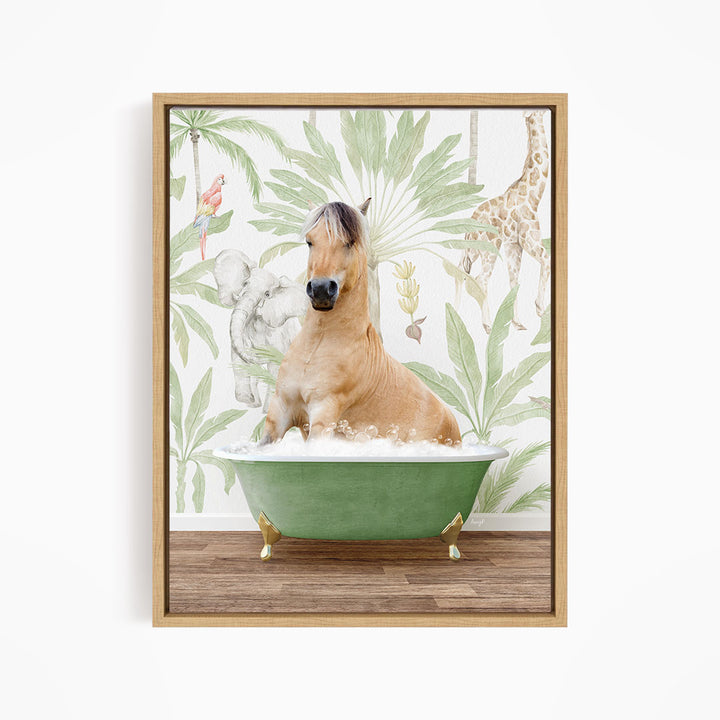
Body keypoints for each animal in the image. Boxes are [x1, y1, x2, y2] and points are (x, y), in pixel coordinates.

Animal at [260, 199, 461, 445]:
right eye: (310, 241)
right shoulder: (280, 411)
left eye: (349, 242)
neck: (317, 346)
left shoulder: (324, 414)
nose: (320, 290)